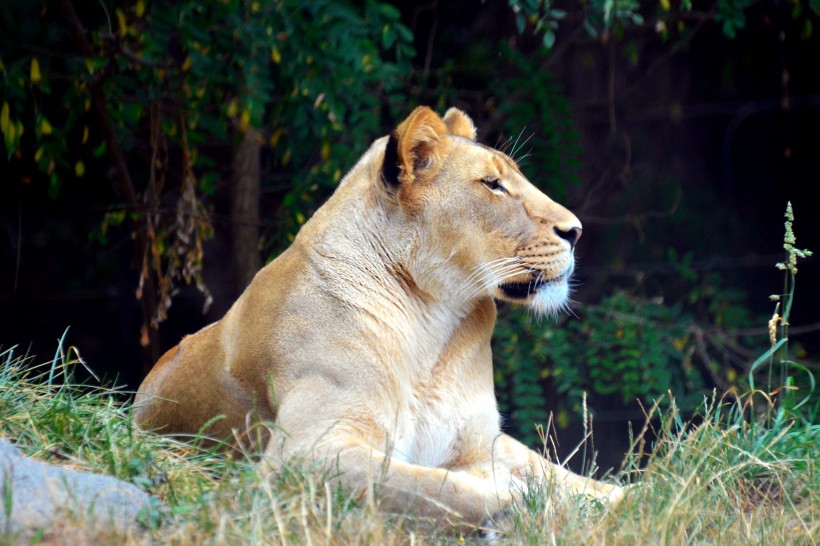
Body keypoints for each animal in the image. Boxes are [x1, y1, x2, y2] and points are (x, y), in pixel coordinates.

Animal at [135, 106, 624, 528]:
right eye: (493, 185)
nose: (576, 231)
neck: (435, 324)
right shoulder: (305, 453)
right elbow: (442, 489)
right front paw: (532, 508)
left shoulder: (480, 440)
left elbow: (554, 477)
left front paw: (623, 501)